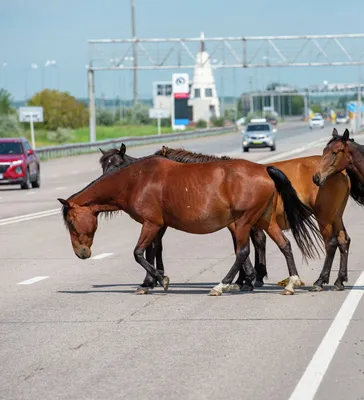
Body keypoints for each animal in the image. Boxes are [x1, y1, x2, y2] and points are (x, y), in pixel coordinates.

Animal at [57, 155, 322, 296]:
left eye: (70, 221)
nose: (81, 253)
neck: (136, 180)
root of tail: (265, 170)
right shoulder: (157, 227)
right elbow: (151, 252)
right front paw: (150, 282)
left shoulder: (151, 224)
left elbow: (139, 253)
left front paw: (160, 279)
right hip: (264, 220)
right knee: (284, 245)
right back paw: (291, 283)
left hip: (244, 221)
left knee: (243, 251)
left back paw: (221, 285)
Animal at [100, 143, 352, 290]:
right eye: (103, 165)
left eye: (118, 164)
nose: (105, 183)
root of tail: (342, 173)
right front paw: (249, 278)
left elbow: (244, 247)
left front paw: (246, 278)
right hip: (334, 217)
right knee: (343, 242)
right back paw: (338, 280)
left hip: (324, 217)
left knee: (331, 243)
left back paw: (321, 281)